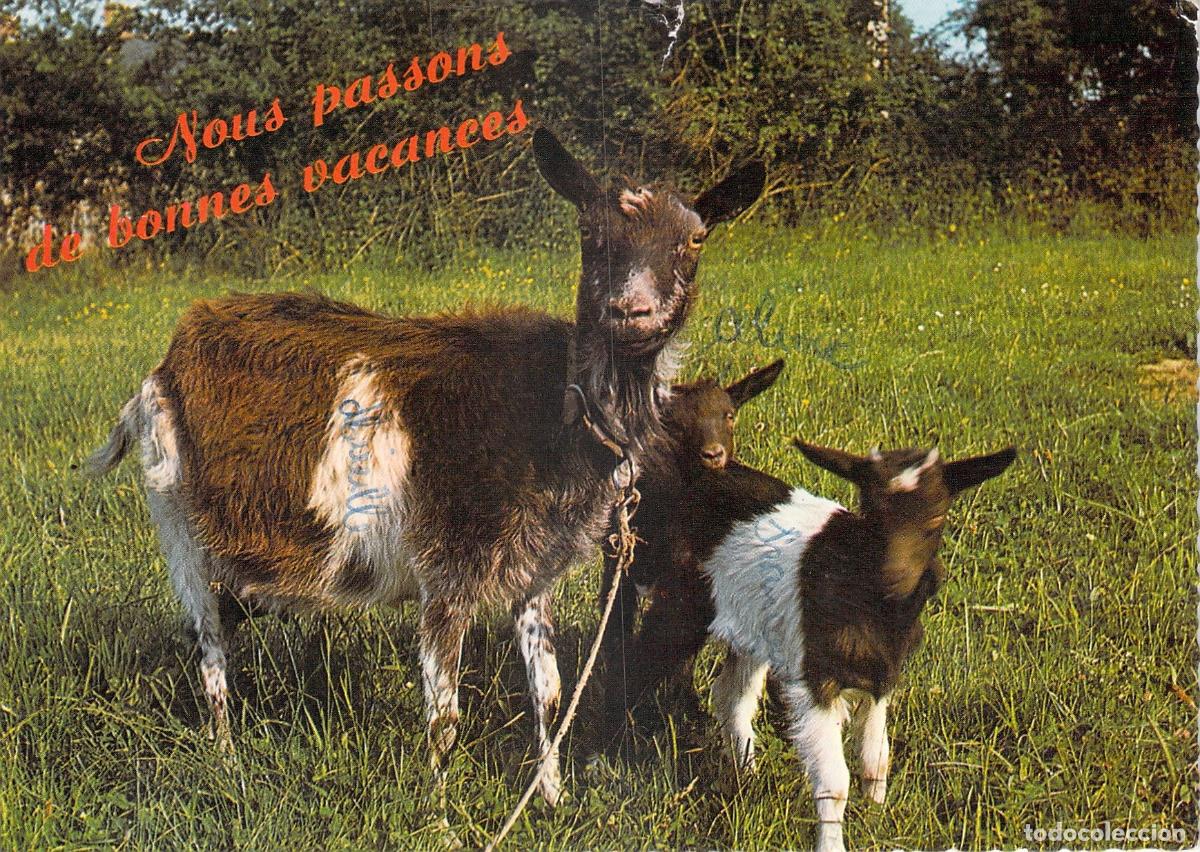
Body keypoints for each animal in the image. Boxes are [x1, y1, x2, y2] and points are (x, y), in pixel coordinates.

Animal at [86, 128, 765, 805]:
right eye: (588, 230)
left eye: (694, 237)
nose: (632, 312)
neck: (554, 413)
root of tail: (166, 362)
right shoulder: (447, 569)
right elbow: (444, 711)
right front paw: (439, 812)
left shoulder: (533, 570)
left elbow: (547, 691)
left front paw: (552, 800)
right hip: (179, 525)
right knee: (207, 641)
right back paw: (227, 761)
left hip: (251, 554)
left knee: (218, 624)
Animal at [672, 439, 1014, 850]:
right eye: (870, 513)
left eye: (936, 519)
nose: (893, 579)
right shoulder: (817, 680)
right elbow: (834, 782)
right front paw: (833, 843)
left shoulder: (883, 678)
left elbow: (876, 759)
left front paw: (875, 819)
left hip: (751, 628)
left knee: (731, 696)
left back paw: (747, 775)